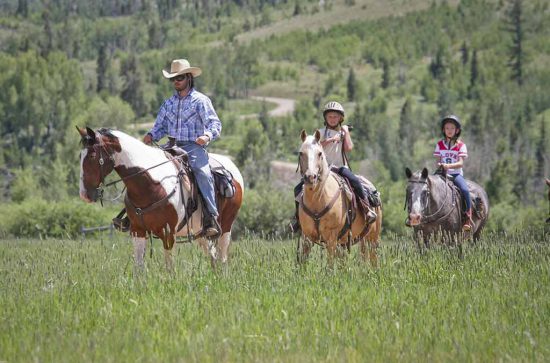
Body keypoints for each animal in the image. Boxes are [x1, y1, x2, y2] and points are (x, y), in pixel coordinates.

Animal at [78, 127, 244, 270]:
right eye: (80, 156)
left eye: (92, 155)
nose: (84, 194)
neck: (151, 184)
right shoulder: (138, 230)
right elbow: (139, 267)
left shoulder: (168, 233)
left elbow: (169, 266)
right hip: (200, 232)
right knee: (212, 255)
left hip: (226, 226)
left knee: (222, 256)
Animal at [298, 129, 384, 266]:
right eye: (301, 153)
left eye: (320, 153)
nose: (310, 177)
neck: (318, 200)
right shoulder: (307, 237)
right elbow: (303, 263)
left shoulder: (331, 238)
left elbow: (329, 266)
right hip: (351, 241)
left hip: (373, 237)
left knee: (374, 260)